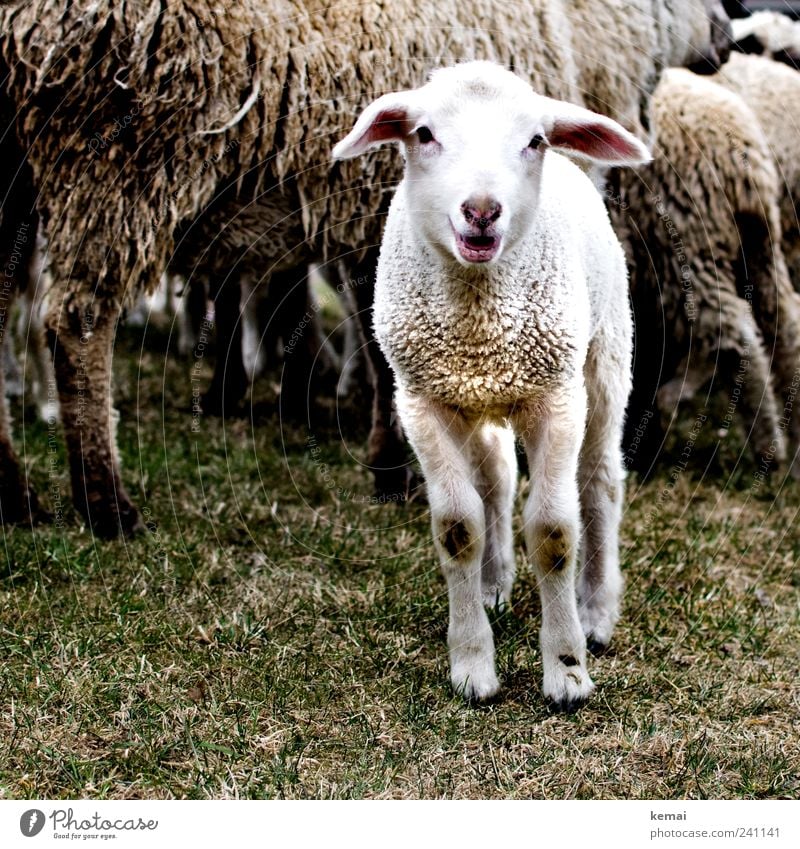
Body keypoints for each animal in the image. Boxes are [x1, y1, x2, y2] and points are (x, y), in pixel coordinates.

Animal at [0, 0, 732, 532]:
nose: (727, 37)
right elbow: (390, 348)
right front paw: (403, 465)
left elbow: (381, 338)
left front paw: (389, 462)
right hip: (118, 157)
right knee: (77, 322)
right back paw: (105, 501)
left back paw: (16, 493)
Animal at [332, 61, 648, 708]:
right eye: (424, 134)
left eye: (534, 141)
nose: (481, 210)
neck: (479, 316)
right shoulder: (422, 401)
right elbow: (459, 527)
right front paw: (473, 666)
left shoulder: (556, 398)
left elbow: (554, 530)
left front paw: (567, 671)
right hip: (479, 398)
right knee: (498, 477)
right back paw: (495, 583)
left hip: (605, 360)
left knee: (600, 483)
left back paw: (596, 611)